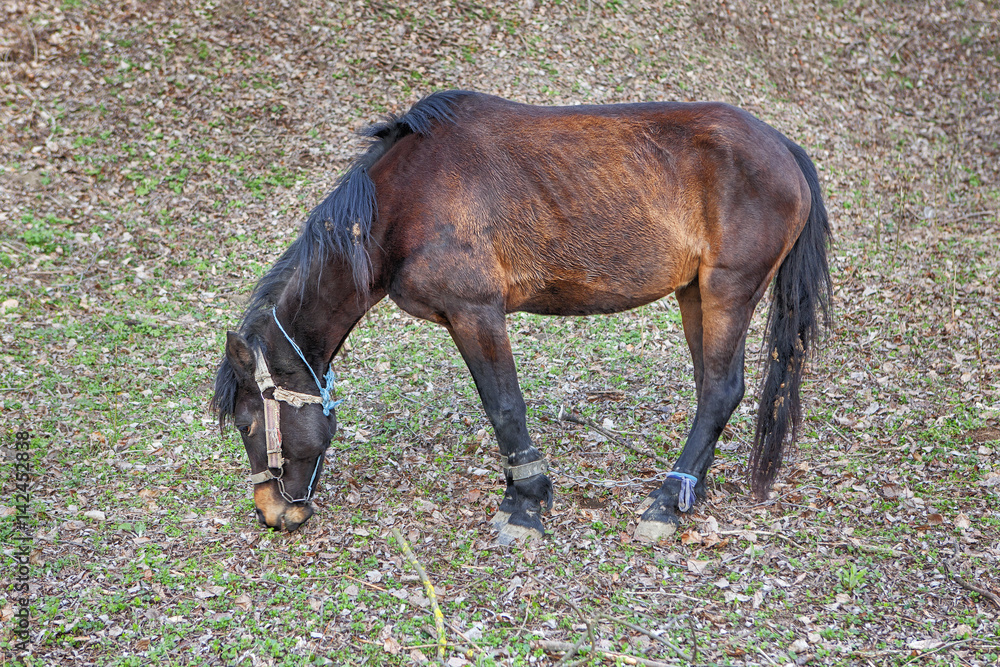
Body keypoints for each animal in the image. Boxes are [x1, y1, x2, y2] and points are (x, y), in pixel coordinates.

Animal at [211, 90, 831, 542]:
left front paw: (525, 504)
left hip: (729, 289)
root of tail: (784, 147)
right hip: (694, 293)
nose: (272, 513)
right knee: (712, 389)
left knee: (722, 389)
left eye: (246, 423)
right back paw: (687, 489)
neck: (403, 202)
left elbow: (505, 407)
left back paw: (664, 502)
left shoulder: (476, 313)